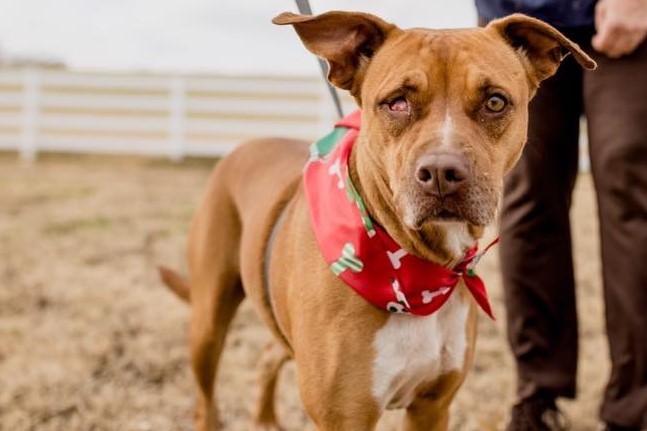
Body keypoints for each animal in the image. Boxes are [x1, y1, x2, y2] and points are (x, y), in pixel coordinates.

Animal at [159, 10, 596, 431]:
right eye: (396, 102)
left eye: (495, 102)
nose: (441, 172)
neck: (420, 269)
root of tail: (244, 145)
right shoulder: (344, 417)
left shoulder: (432, 408)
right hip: (207, 321)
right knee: (205, 397)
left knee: (270, 352)